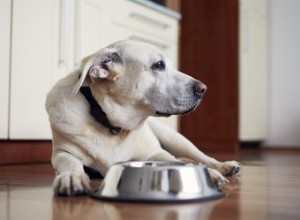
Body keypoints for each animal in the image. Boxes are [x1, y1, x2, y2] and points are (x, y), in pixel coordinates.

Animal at [45, 40, 241, 196]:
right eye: (158, 65)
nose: (203, 89)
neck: (111, 123)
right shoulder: (62, 153)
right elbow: (70, 163)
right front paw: (72, 176)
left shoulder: (156, 153)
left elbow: (174, 161)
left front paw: (210, 174)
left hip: (175, 139)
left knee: (200, 156)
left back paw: (224, 166)